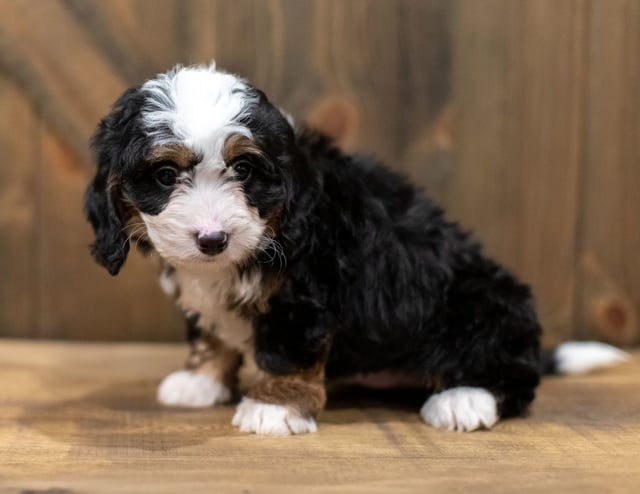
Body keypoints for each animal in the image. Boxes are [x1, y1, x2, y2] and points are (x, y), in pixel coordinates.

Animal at [84, 62, 624, 436]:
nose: (212, 240)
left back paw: (464, 398)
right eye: (164, 175)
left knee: (512, 376)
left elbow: (288, 350)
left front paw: (273, 407)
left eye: (244, 170)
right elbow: (210, 332)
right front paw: (201, 379)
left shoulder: (305, 293)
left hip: (484, 298)